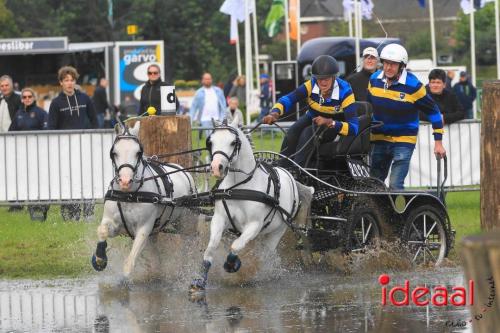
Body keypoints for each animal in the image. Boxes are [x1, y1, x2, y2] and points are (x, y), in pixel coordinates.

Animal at [91, 120, 195, 278]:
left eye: (138, 152)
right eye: (114, 152)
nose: (125, 181)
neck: (129, 195)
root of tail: (183, 171)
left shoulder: (143, 229)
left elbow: (129, 264)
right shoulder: (114, 224)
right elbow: (102, 230)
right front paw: (100, 258)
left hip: (185, 222)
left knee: (187, 242)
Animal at [191, 118, 312, 290]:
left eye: (233, 142)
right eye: (210, 141)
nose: (216, 168)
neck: (239, 187)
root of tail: (290, 175)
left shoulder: (254, 225)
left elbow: (236, 246)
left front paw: (232, 264)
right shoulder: (219, 219)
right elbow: (211, 246)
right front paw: (200, 280)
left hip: (277, 231)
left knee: (265, 255)